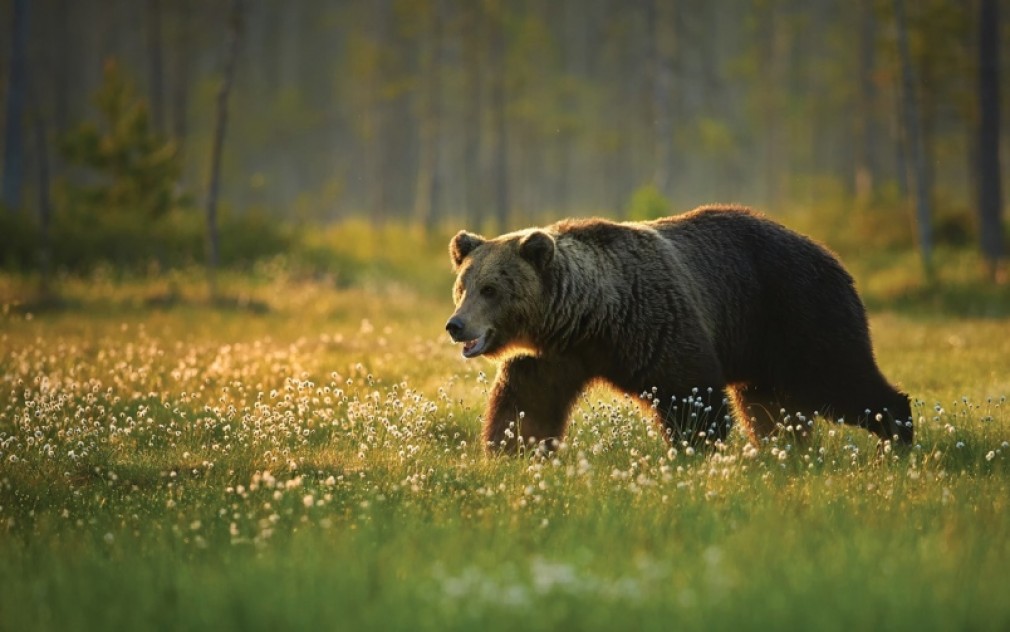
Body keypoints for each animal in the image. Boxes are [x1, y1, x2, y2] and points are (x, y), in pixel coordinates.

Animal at [446, 206, 913, 452]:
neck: (589, 318)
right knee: (768, 407)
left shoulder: (654, 323)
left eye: (491, 289)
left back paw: (896, 437)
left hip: (799, 312)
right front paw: (512, 449)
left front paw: (693, 451)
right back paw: (783, 451)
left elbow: (690, 393)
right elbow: (527, 404)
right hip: (763, 348)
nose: (456, 325)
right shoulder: (552, 356)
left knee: (841, 377)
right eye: (462, 287)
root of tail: (832, 256)